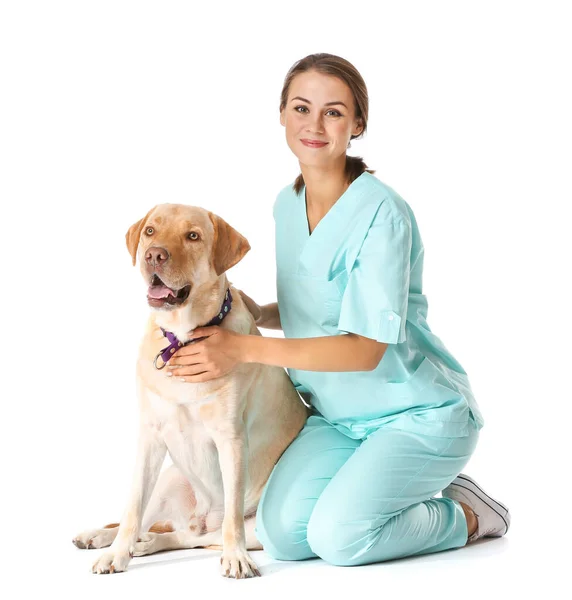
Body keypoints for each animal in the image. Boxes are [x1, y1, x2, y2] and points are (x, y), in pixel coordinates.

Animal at [75, 205, 310, 576]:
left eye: (193, 236)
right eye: (151, 231)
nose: (153, 256)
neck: (182, 339)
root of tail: (200, 517)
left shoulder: (231, 439)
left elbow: (232, 517)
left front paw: (235, 557)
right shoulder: (150, 436)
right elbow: (132, 508)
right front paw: (116, 554)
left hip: (259, 528)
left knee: (192, 536)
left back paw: (152, 543)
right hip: (169, 480)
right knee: (149, 520)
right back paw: (104, 537)